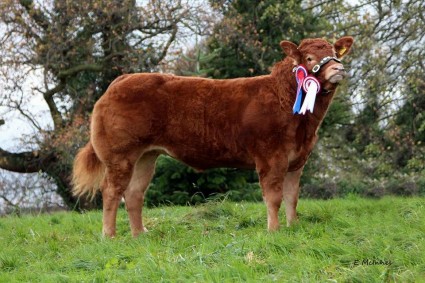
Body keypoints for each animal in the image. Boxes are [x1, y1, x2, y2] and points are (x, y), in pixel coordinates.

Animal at [73, 36, 354, 239]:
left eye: (333, 51)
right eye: (309, 57)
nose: (338, 68)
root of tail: (121, 80)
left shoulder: (297, 159)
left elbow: (292, 196)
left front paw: (293, 227)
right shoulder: (271, 156)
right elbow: (274, 197)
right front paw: (273, 231)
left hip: (146, 155)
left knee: (133, 193)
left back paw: (139, 234)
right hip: (120, 155)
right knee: (111, 191)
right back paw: (109, 236)